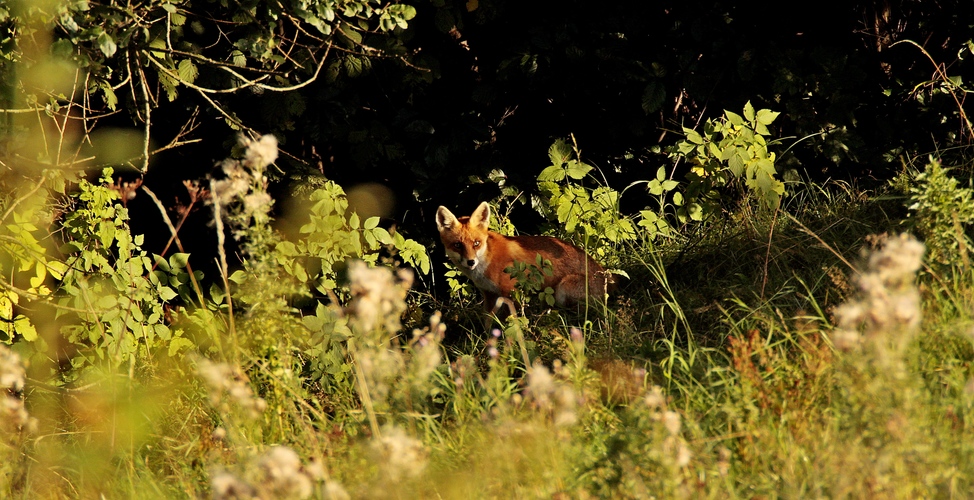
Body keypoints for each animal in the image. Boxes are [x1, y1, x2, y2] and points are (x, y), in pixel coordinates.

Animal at [436, 200, 612, 314]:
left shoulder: (510, 292)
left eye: (476, 243)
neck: (487, 262)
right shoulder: (489, 295)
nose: (471, 261)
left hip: (563, 289)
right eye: (457, 245)